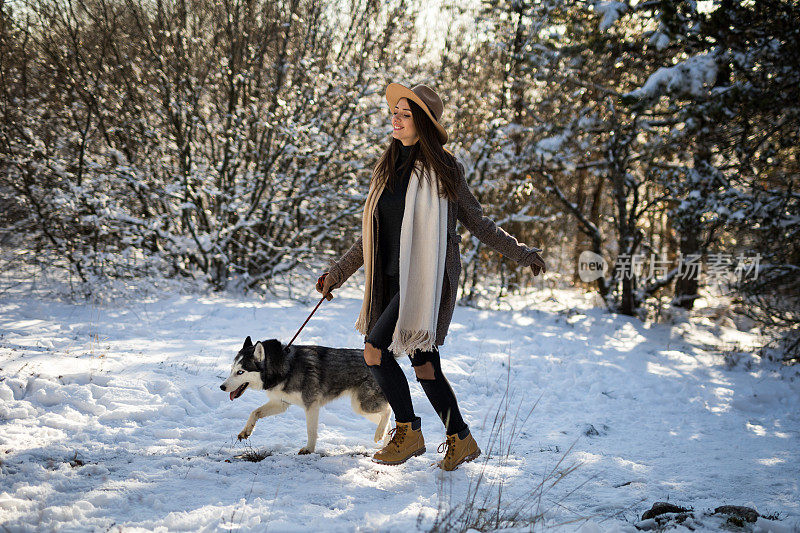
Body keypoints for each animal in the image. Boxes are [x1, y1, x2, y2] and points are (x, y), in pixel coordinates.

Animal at [220, 336, 392, 454]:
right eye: (231, 370)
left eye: (240, 372)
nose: (222, 387)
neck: (285, 367)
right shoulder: (281, 403)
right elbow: (254, 412)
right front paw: (246, 431)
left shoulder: (311, 405)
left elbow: (311, 431)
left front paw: (309, 449)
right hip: (361, 407)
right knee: (388, 421)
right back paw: (385, 442)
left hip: (364, 405)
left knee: (388, 411)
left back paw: (379, 434)